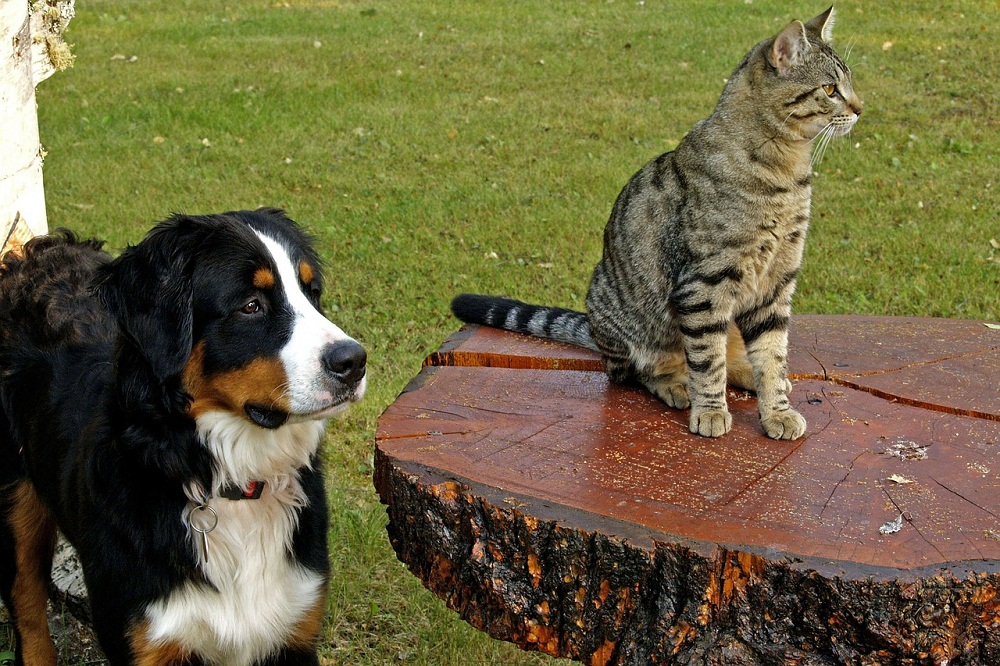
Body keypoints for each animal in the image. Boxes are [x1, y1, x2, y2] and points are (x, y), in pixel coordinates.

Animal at [0, 206, 368, 660]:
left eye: (311, 293)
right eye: (251, 305)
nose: (354, 361)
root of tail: (33, 253)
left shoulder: (295, 627)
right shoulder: (144, 640)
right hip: (13, 512)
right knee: (29, 614)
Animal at [452, 9, 860, 440]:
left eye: (849, 84)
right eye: (830, 88)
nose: (861, 108)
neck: (786, 172)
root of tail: (594, 330)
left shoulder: (776, 283)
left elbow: (772, 355)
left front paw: (777, 410)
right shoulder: (704, 285)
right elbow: (707, 361)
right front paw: (710, 410)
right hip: (627, 322)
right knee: (639, 372)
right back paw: (676, 385)